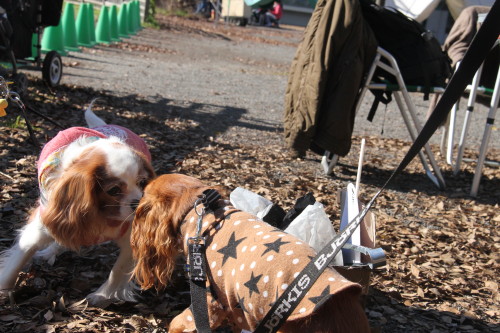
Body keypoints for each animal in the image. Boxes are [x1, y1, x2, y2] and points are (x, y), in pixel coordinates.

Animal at [0, 102, 154, 306]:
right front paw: (4, 289)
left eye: (143, 183)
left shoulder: (131, 236)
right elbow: (17, 260)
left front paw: (102, 296)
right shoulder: (45, 222)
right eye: (113, 190)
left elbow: (118, 270)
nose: (138, 202)